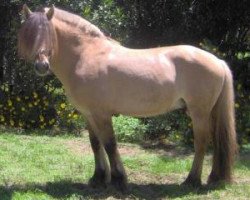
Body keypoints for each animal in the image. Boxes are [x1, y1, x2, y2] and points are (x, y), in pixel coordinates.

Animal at [18, 4, 237, 191]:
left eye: (48, 33)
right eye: (29, 34)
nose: (42, 66)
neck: (85, 55)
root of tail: (217, 61)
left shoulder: (101, 114)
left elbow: (110, 144)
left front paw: (118, 180)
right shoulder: (88, 114)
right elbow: (96, 144)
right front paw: (98, 178)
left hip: (198, 112)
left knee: (201, 143)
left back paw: (192, 181)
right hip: (209, 112)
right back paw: (213, 177)